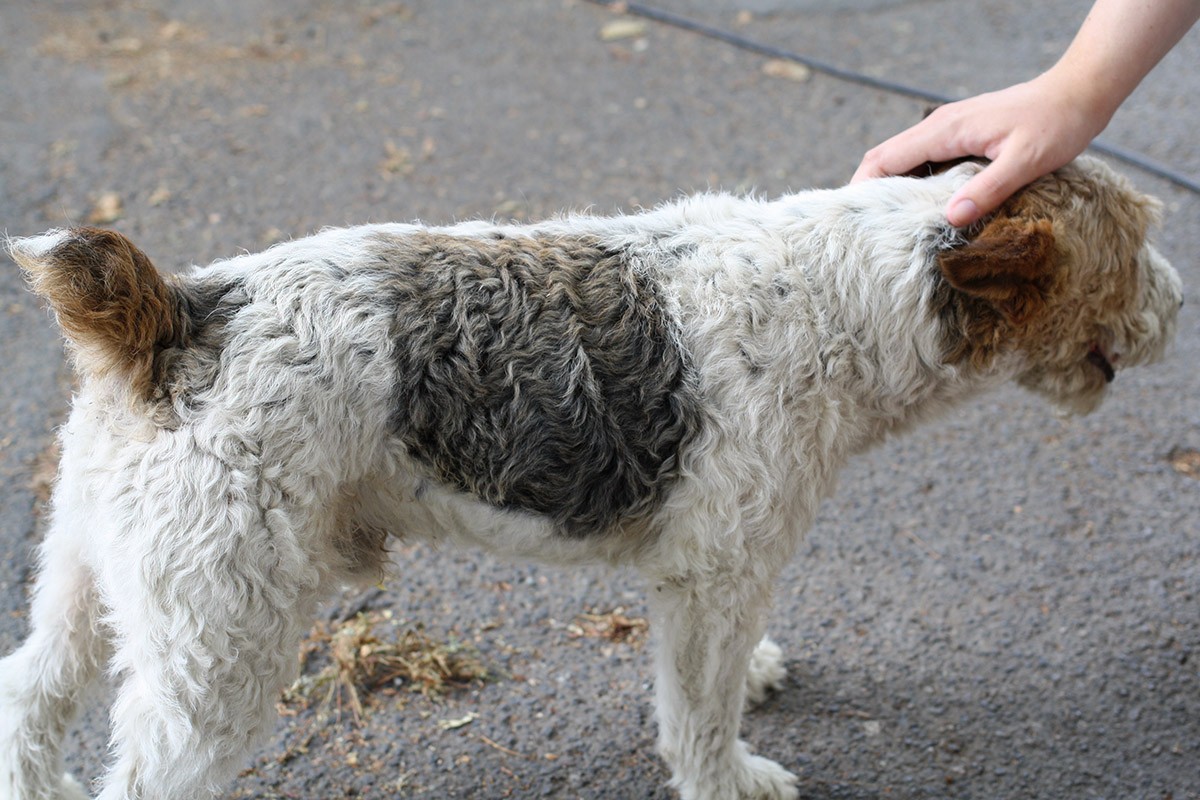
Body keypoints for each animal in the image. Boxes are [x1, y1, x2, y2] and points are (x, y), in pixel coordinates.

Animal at [0, 158, 1180, 800]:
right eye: (1131, 246)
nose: (1179, 305)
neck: (836, 298)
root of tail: (176, 317)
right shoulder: (714, 572)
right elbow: (696, 716)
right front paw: (734, 778)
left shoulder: (721, 574)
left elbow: (722, 675)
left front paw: (758, 674)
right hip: (217, 645)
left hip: (97, 579)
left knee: (27, 697)